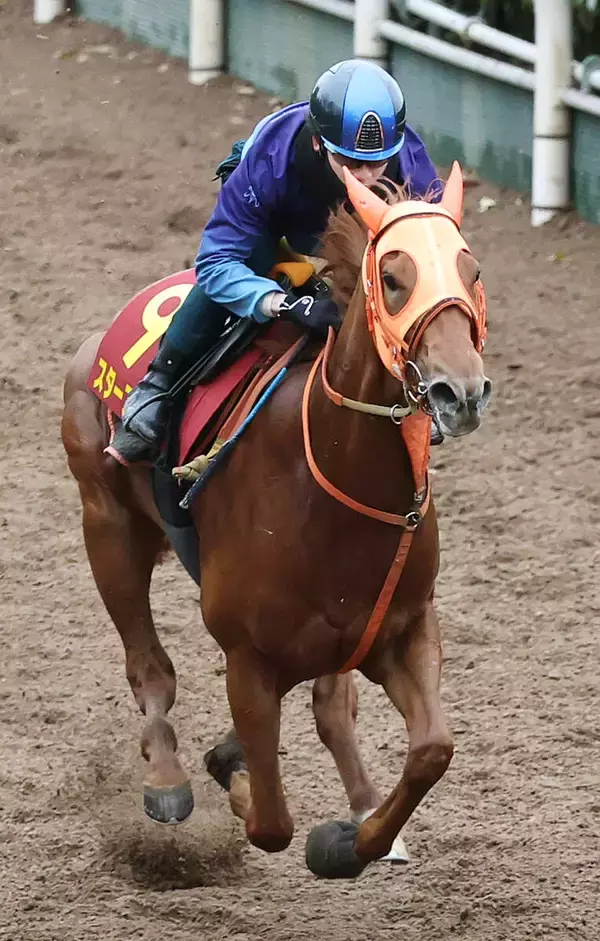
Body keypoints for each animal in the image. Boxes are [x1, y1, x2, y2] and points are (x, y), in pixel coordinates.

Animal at [60, 162, 491, 879]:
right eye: (393, 278)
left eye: (471, 269)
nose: (461, 392)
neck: (330, 478)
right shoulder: (247, 659)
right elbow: (269, 822)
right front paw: (236, 781)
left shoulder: (401, 626)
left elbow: (432, 748)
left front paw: (352, 840)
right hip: (109, 527)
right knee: (149, 666)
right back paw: (169, 778)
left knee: (331, 708)